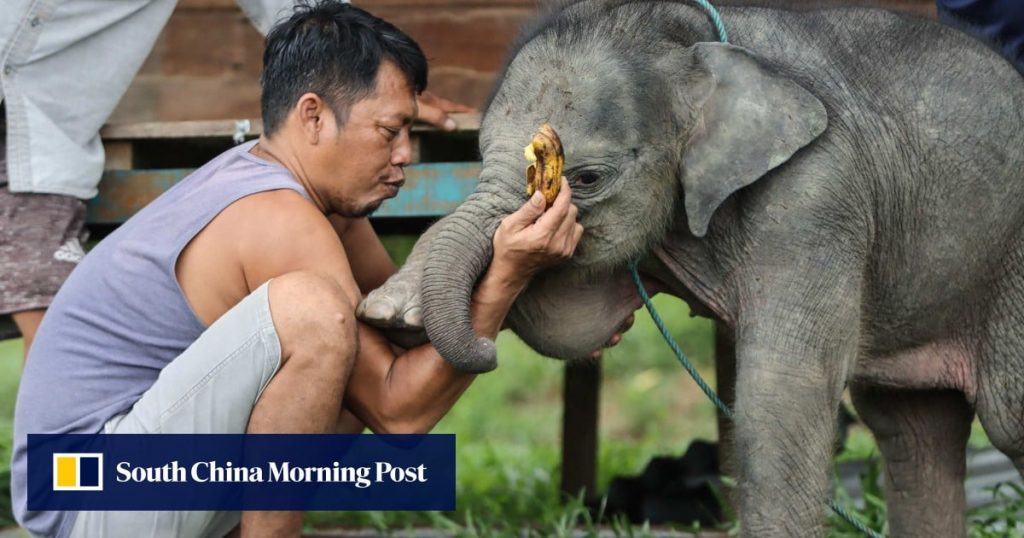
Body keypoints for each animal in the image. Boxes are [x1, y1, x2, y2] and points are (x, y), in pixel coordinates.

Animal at [357, 1, 1024, 536]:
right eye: (475, 154)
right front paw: (393, 310)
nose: (479, 351)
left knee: (1003, 418)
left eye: (586, 178)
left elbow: (780, 395)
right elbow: (569, 325)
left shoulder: (816, 198)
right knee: (914, 434)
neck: (691, 41)